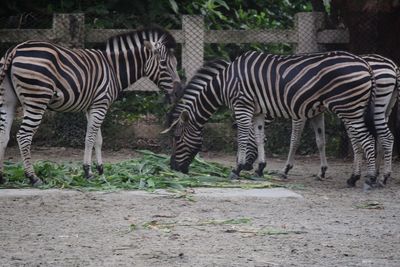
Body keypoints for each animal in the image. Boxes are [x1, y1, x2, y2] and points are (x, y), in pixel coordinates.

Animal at [0, 27, 180, 186]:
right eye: (164, 63)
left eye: (175, 63)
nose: (179, 92)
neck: (113, 68)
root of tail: (14, 50)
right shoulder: (101, 103)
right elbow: (90, 138)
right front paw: (88, 171)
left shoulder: (92, 106)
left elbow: (98, 139)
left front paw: (100, 170)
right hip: (36, 100)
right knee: (23, 136)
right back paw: (33, 177)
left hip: (8, 101)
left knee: (4, 135)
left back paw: (2, 176)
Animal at [166, 51, 382, 189]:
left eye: (176, 138)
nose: (173, 168)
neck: (225, 83)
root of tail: (366, 65)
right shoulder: (258, 111)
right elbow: (259, 137)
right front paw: (260, 168)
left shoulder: (242, 105)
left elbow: (242, 138)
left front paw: (237, 169)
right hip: (352, 109)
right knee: (362, 140)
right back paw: (354, 178)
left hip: (349, 108)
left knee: (367, 140)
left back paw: (370, 178)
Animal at [242, 53, 398, 187]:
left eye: (249, 141)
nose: (246, 167)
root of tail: (393, 67)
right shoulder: (317, 112)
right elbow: (320, 141)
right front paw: (322, 171)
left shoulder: (298, 113)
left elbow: (294, 140)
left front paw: (285, 170)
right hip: (381, 109)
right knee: (382, 137)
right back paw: (378, 175)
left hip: (368, 107)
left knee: (378, 138)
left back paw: (377, 177)